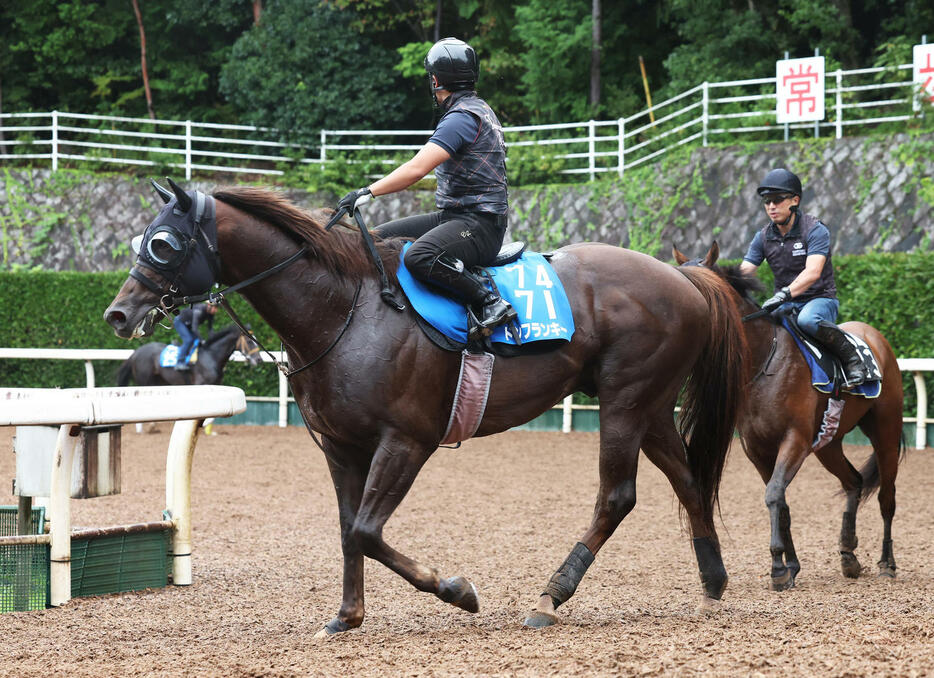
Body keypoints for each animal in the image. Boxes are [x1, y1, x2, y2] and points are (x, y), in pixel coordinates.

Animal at [104, 182, 744, 636]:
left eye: (162, 243)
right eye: (142, 239)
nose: (118, 313)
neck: (344, 310)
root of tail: (683, 277)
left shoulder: (407, 441)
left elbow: (367, 529)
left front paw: (456, 590)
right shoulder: (341, 446)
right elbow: (348, 530)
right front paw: (347, 616)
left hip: (624, 402)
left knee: (617, 496)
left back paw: (551, 596)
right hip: (650, 406)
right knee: (689, 478)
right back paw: (712, 583)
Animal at [676, 243, 904, 588]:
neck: (763, 363)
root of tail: (876, 338)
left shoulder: (794, 440)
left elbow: (773, 495)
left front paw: (777, 567)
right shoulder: (757, 450)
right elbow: (781, 502)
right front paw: (791, 566)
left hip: (885, 431)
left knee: (886, 498)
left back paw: (887, 563)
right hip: (829, 443)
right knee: (854, 481)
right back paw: (848, 554)